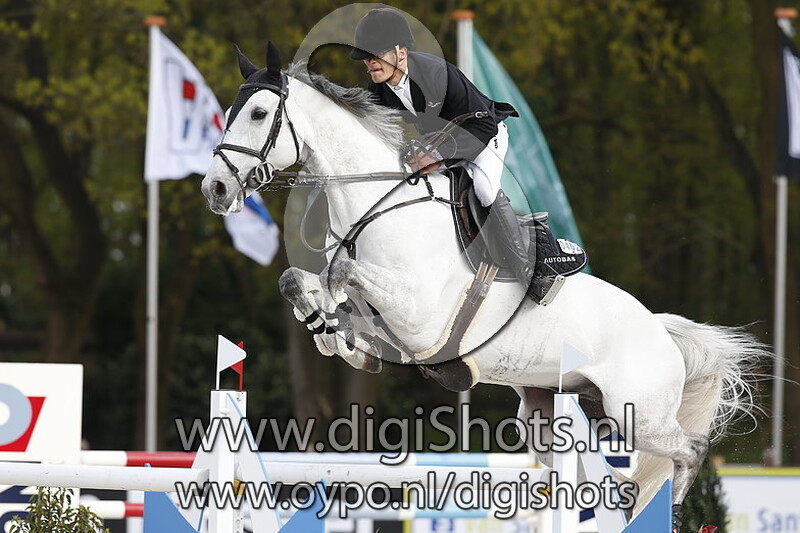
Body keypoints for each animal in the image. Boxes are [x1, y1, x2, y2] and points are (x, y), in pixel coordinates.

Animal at [201, 43, 766, 529]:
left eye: (258, 114)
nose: (216, 189)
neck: (375, 205)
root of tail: (660, 329)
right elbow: (297, 280)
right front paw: (331, 331)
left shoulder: (420, 314)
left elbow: (342, 277)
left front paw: (338, 331)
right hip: (549, 414)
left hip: (640, 414)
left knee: (687, 452)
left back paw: (670, 511)